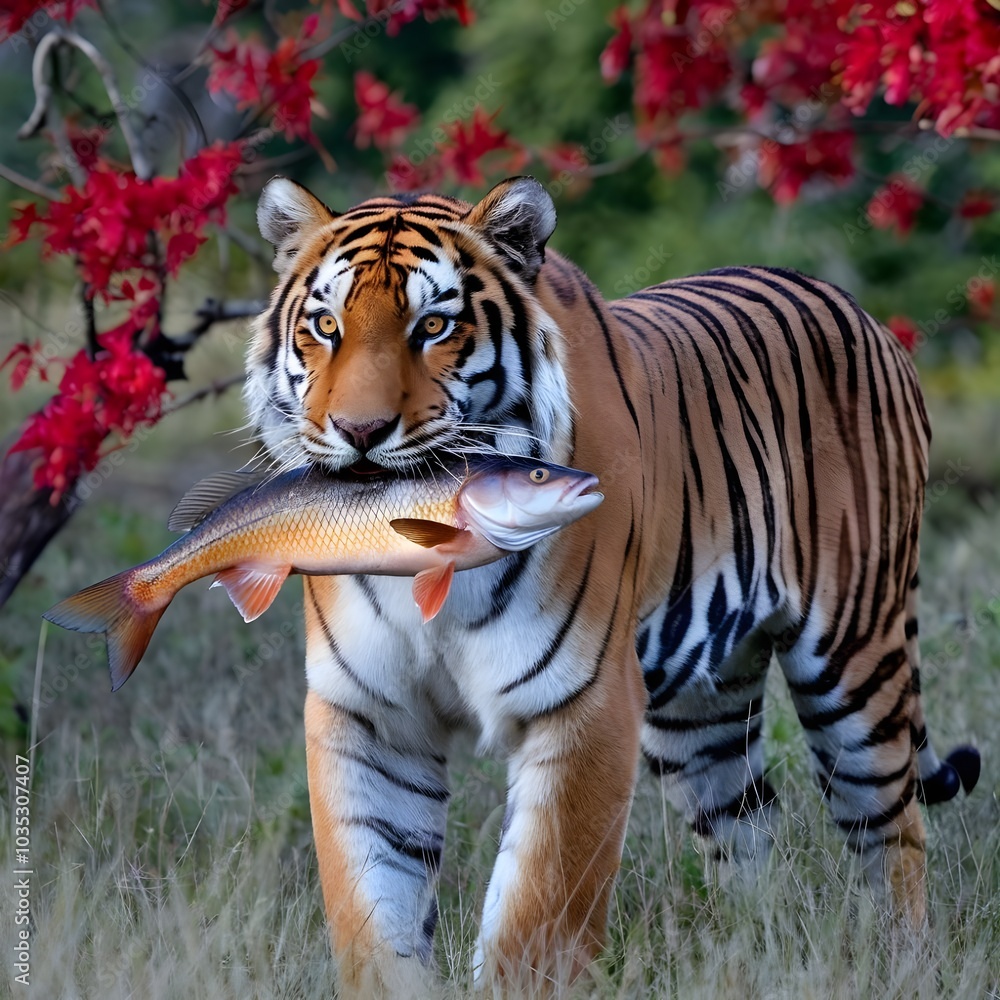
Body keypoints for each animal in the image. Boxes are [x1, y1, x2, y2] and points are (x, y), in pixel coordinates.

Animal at [245, 174, 980, 997]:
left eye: (433, 325)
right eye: (325, 324)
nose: (360, 431)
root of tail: (855, 307)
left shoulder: (584, 699)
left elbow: (538, 911)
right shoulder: (368, 714)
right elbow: (372, 906)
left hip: (855, 661)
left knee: (891, 830)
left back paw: (902, 961)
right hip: (701, 709)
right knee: (747, 827)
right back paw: (746, 953)